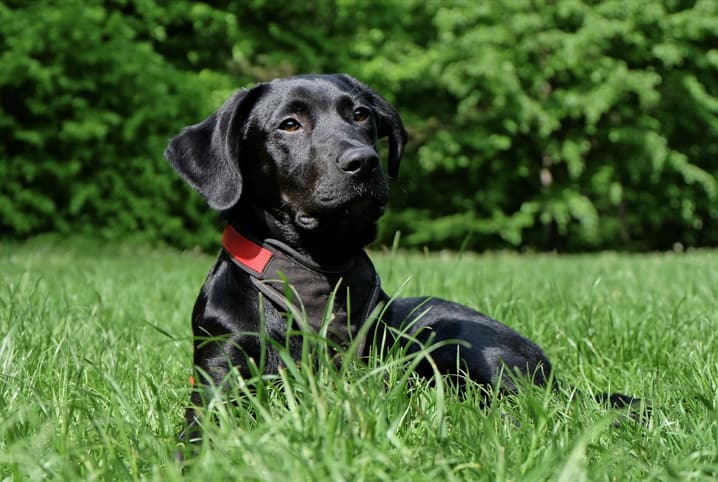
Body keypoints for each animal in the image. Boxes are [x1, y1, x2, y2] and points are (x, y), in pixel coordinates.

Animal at [166, 72, 632, 440]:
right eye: (290, 124)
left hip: (455, 340)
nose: (364, 161)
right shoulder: (219, 375)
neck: (314, 272)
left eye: (360, 115)